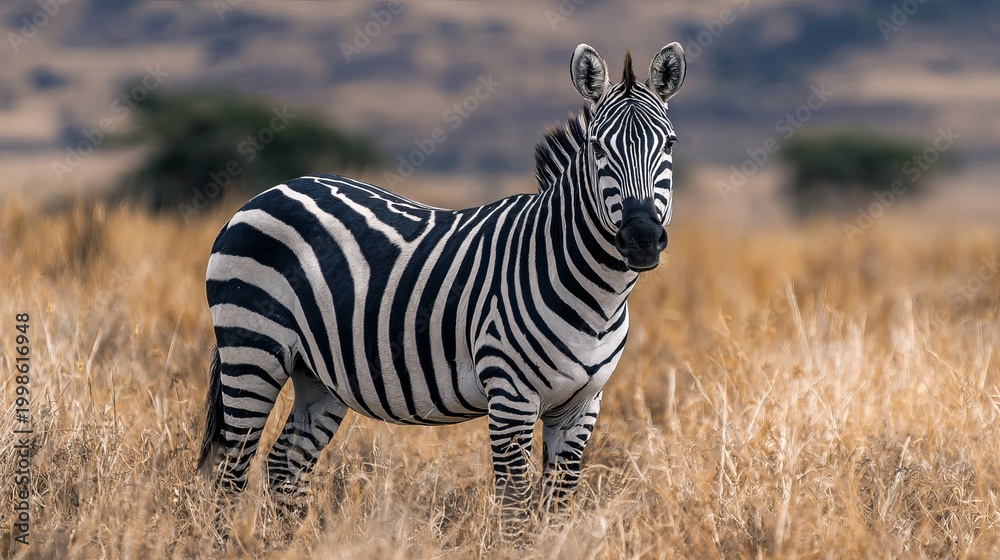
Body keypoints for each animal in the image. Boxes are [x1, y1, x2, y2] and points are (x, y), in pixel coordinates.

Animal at [198, 43, 686, 530]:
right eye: (597, 146)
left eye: (670, 143)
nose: (642, 238)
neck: (597, 296)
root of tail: (273, 190)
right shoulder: (511, 399)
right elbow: (515, 509)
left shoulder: (582, 407)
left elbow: (557, 509)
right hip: (252, 351)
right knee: (231, 469)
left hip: (318, 373)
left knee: (284, 465)